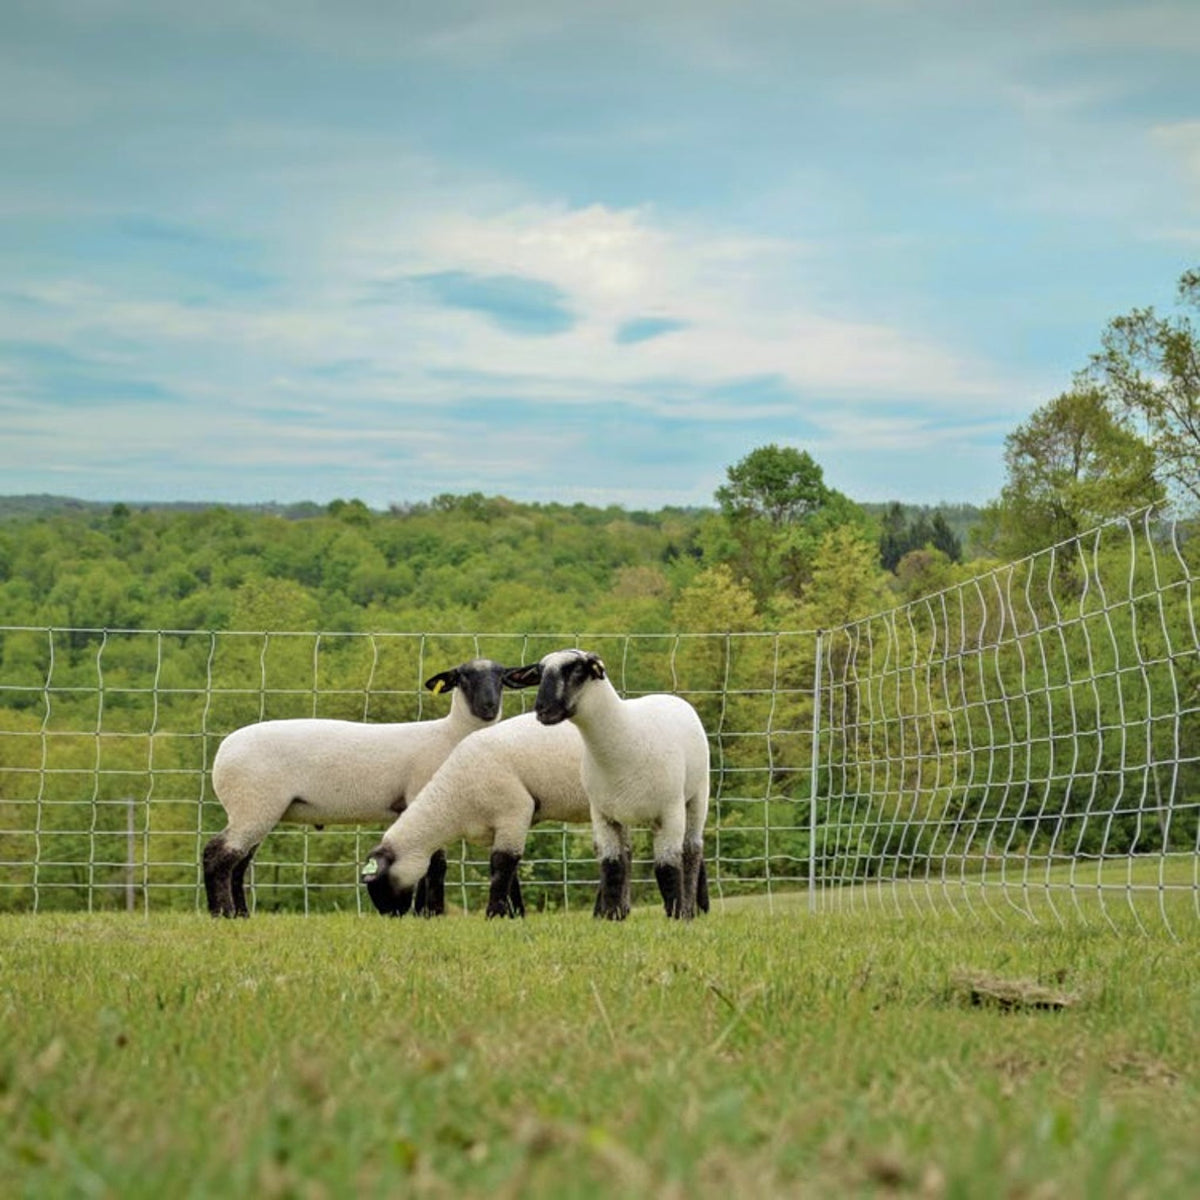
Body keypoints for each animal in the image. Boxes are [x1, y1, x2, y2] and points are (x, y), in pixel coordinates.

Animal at [203, 658, 524, 918]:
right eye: (463, 677)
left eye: (501, 677)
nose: (488, 707)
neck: (451, 734)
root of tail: (221, 752)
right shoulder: (426, 797)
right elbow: (436, 865)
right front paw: (432, 913)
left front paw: (423, 913)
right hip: (253, 804)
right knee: (217, 855)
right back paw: (222, 913)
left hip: (255, 809)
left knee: (238, 863)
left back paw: (241, 915)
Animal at [360, 713, 605, 918]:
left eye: (382, 882)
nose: (391, 916)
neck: (453, 798)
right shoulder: (496, 828)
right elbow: (510, 873)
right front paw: (515, 915)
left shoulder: (515, 811)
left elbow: (502, 864)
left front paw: (495, 914)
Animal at [507, 648, 711, 921]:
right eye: (539, 673)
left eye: (578, 670)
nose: (542, 710)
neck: (624, 739)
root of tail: (671, 697)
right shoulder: (602, 814)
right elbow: (612, 866)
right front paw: (613, 916)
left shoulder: (670, 812)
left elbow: (667, 867)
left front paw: (678, 915)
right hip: (624, 811)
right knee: (628, 854)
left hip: (698, 794)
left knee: (692, 850)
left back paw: (689, 908)